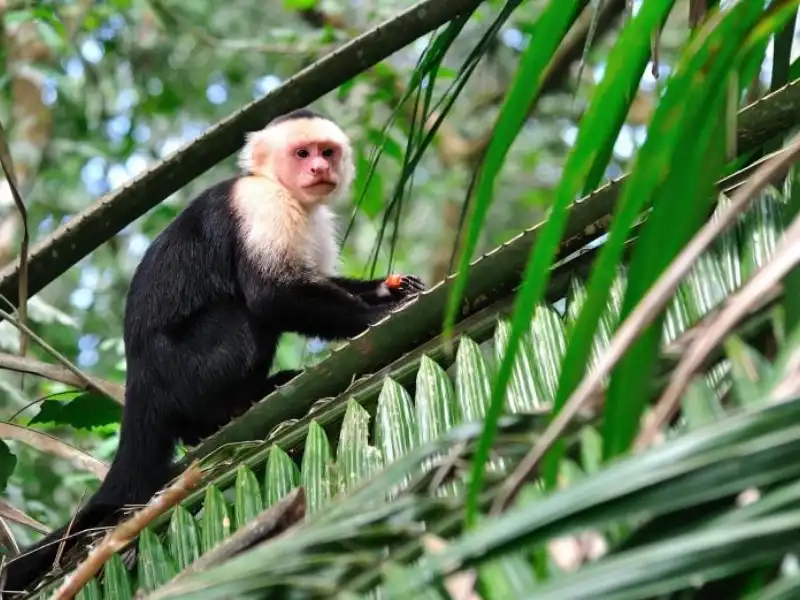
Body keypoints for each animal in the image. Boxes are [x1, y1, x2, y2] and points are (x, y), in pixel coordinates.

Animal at [3, 109, 428, 596]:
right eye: (302, 153)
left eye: (327, 151)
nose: (320, 168)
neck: (278, 187)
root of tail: (139, 385)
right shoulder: (262, 206)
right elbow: (273, 296)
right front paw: (377, 316)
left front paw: (390, 288)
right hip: (184, 369)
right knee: (241, 319)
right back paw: (226, 412)